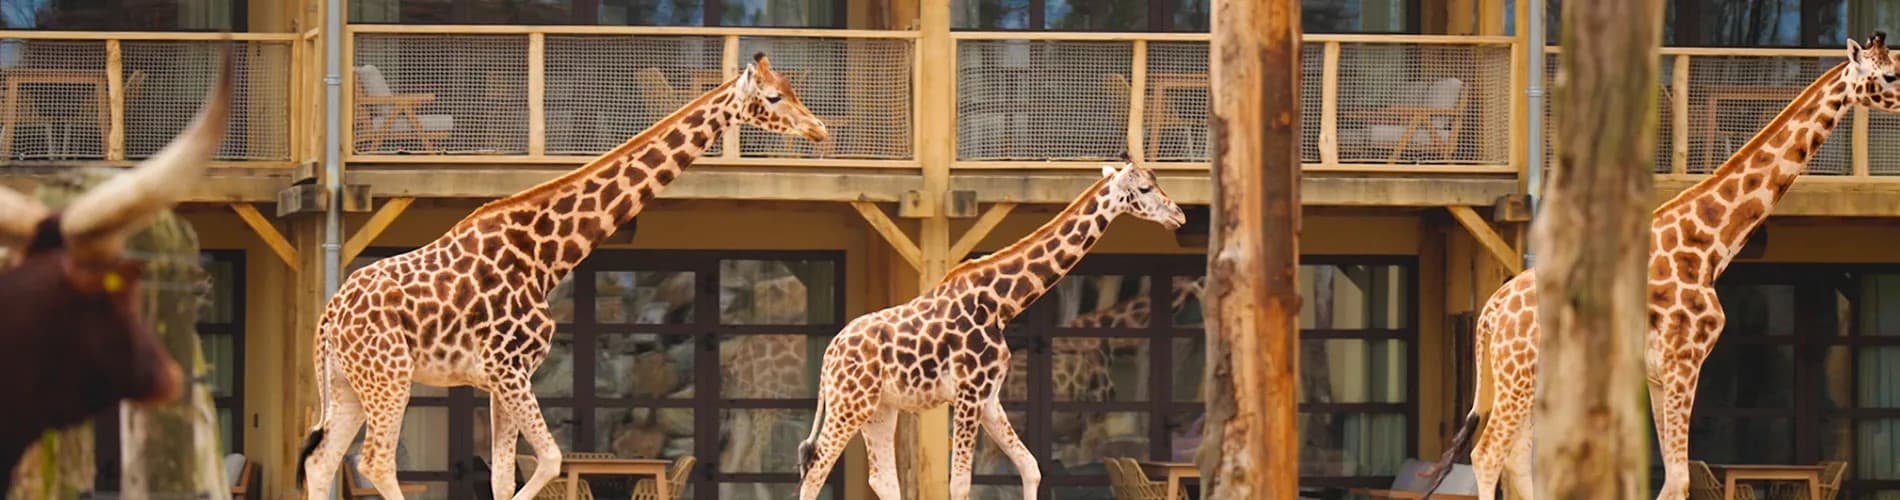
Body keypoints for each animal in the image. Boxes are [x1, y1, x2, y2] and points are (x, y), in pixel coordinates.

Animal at [296, 53, 827, 500]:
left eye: (793, 88)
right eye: (773, 97)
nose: (819, 128)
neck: (546, 254)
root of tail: (326, 318)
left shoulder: (500, 377)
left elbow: (505, 475)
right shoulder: (509, 368)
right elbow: (550, 461)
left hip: (350, 384)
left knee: (322, 462)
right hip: (389, 375)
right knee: (375, 461)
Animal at [795, 159, 1186, 500]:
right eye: (1144, 188)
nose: (1179, 215)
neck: (1002, 304)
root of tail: (829, 355)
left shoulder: (990, 397)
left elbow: (1031, 467)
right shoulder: (969, 392)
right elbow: (960, 483)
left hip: (879, 408)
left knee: (881, 479)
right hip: (850, 403)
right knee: (816, 467)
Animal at [1421, 33, 1900, 500]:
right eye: (1891, 74)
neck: (1709, 247)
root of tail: (1490, 311)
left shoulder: (1657, 372)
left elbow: (1671, 478)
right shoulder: (1684, 358)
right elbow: (1679, 480)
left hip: (1525, 378)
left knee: (1516, 459)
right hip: (1518, 375)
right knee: (1488, 455)